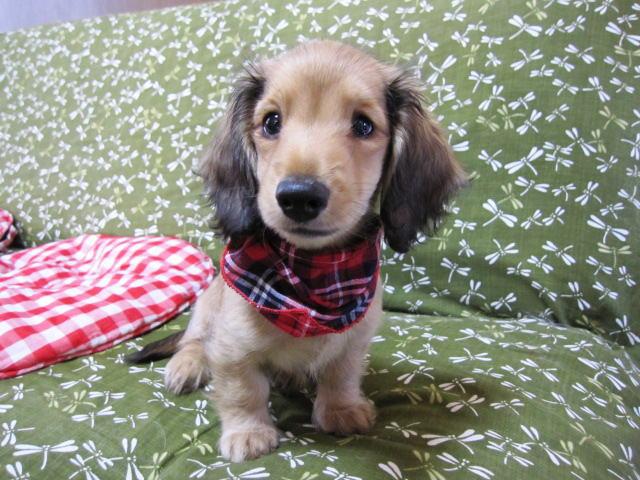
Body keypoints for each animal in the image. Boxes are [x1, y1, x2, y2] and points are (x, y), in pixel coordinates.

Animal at [129, 40, 466, 463]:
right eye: (272, 122)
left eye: (363, 125)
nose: (299, 196)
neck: (314, 275)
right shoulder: (232, 346)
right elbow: (242, 391)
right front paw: (248, 433)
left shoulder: (354, 340)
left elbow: (341, 375)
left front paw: (341, 409)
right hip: (207, 307)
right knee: (192, 340)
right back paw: (187, 365)